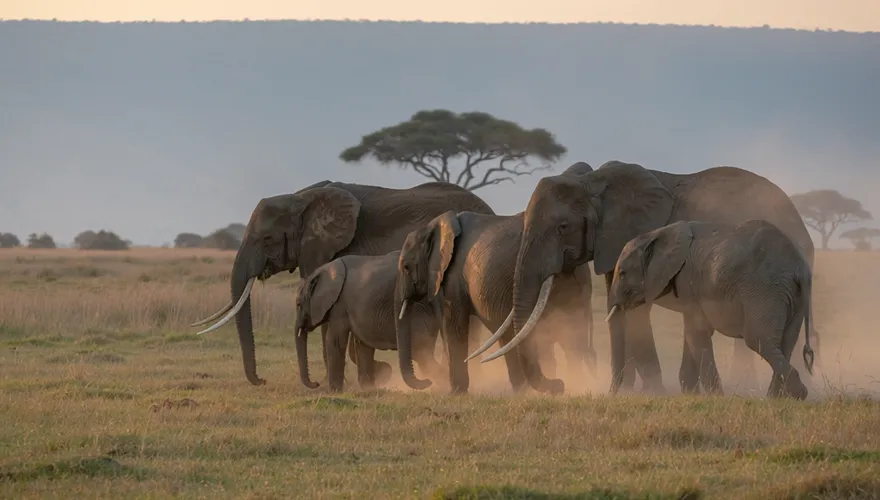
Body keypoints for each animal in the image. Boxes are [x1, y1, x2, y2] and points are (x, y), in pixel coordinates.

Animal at [294, 251, 445, 392]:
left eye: (298, 305)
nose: (316, 383)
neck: (323, 270)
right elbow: (362, 343)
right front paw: (368, 389)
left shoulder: (340, 305)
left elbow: (335, 340)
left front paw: (334, 392)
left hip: (418, 309)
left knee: (419, 351)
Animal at [605, 220, 816, 399]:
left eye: (622, 273)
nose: (614, 394)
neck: (656, 234)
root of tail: (800, 268)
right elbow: (693, 333)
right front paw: (692, 394)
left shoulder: (688, 281)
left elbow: (696, 333)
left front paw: (715, 397)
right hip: (794, 296)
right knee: (786, 342)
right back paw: (777, 398)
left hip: (765, 289)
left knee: (759, 340)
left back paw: (797, 394)